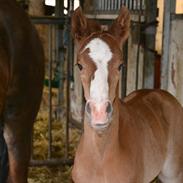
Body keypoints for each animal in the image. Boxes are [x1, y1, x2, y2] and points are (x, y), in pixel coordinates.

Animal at [71, 6, 183, 183]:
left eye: (121, 65)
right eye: (79, 65)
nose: (99, 112)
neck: (100, 160)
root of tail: (160, 92)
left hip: (173, 174)